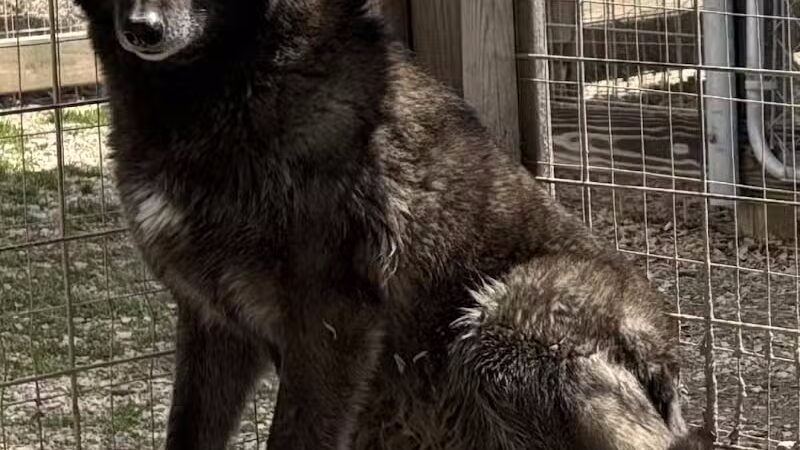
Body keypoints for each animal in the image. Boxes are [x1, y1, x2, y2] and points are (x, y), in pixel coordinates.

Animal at [73, 0, 708, 448]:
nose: (143, 29)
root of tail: (663, 358)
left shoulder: (333, 318)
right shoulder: (212, 320)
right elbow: (188, 430)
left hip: (499, 326)